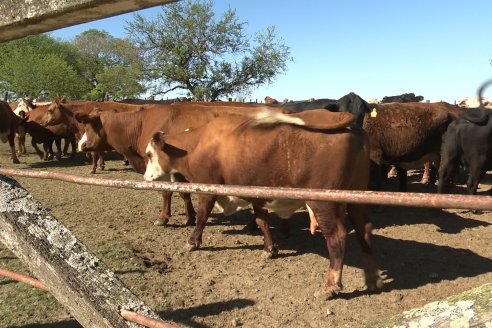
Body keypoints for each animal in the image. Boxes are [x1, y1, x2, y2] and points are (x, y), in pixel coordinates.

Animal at [144, 109, 382, 300]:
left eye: (149, 154)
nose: (146, 177)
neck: (199, 144)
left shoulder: (209, 188)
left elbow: (202, 216)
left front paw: (192, 242)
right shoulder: (257, 194)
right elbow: (262, 221)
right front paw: (270, 248)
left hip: (323, 203)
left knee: (336, 237)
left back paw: (331, 286)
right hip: (356, 198)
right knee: (364, 228)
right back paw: (371, 278)